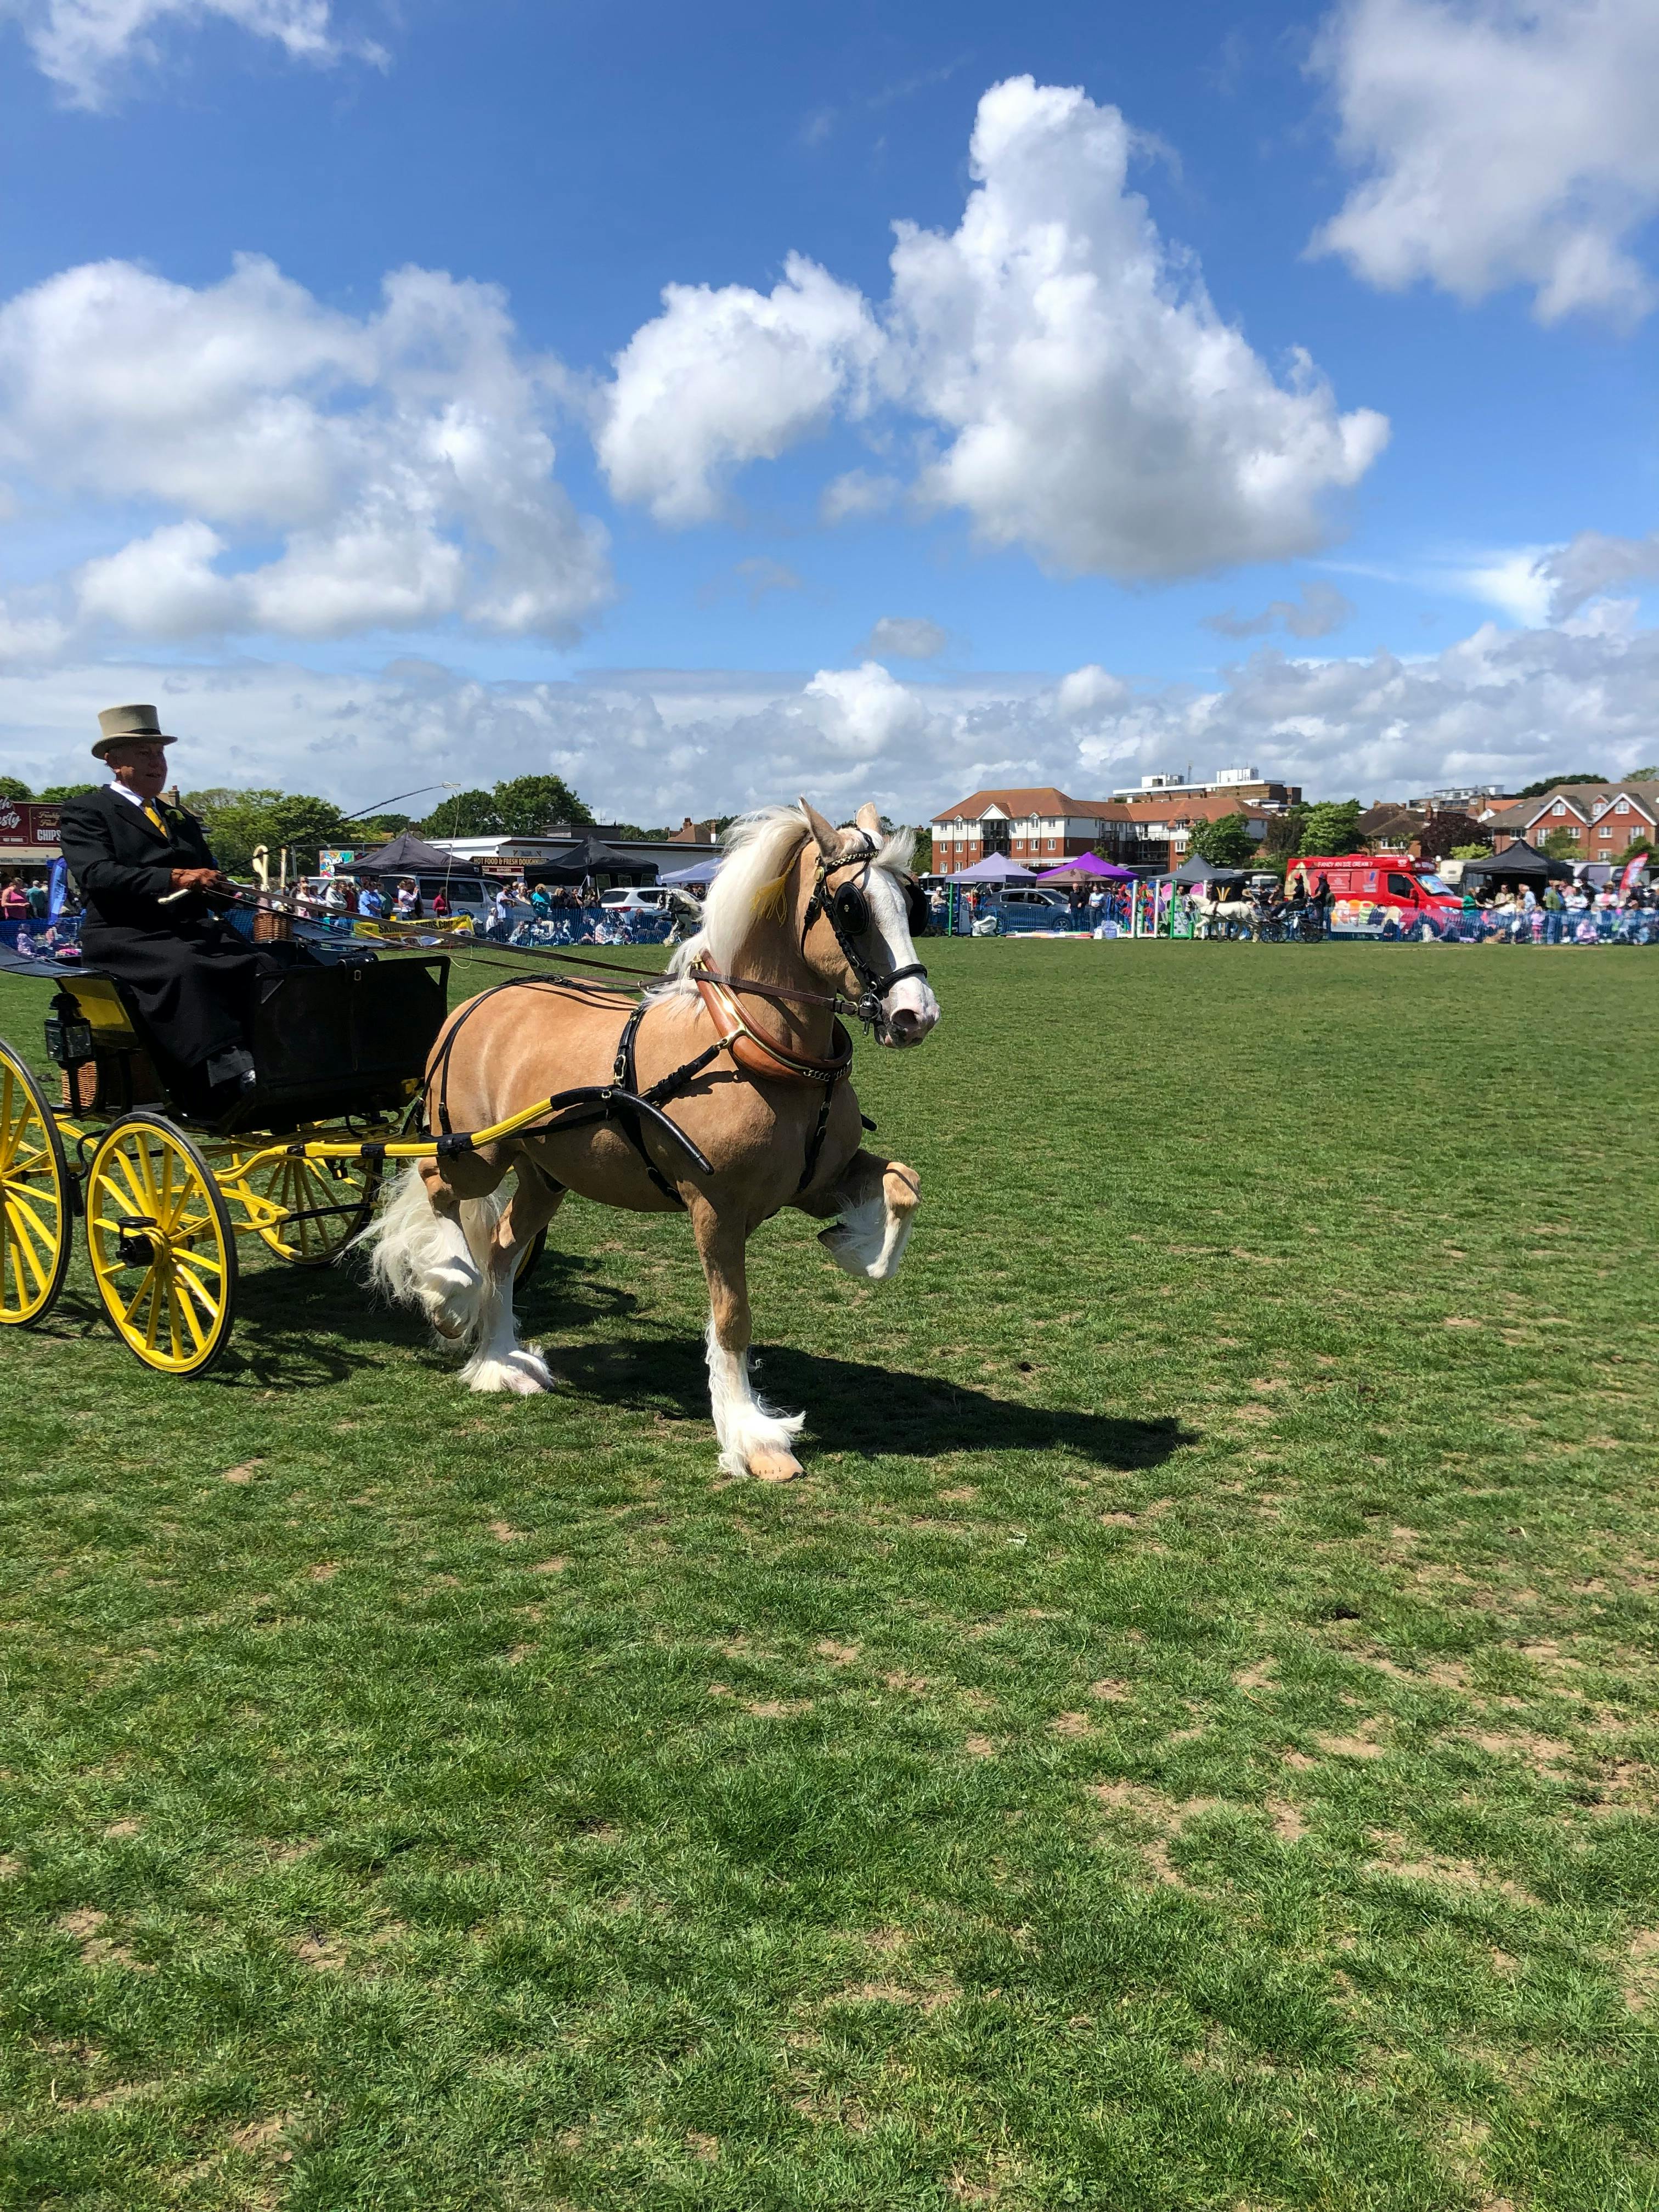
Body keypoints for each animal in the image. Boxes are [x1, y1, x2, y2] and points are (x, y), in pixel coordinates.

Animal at [361, 801, 940, 1482]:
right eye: (851, 907)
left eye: (913, 901)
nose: (916, 1015)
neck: (758, 1050)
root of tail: (477, 1002)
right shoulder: (716, 1209)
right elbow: (733, 1318)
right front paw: (752, 1438)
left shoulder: (815, 1182)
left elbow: (903, 1184)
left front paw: (857, 1249)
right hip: (475, 1151)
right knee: (438, 1190)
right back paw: (449, 1293)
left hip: (545, 1175)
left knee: (502, 1251)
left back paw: (500, 1360)